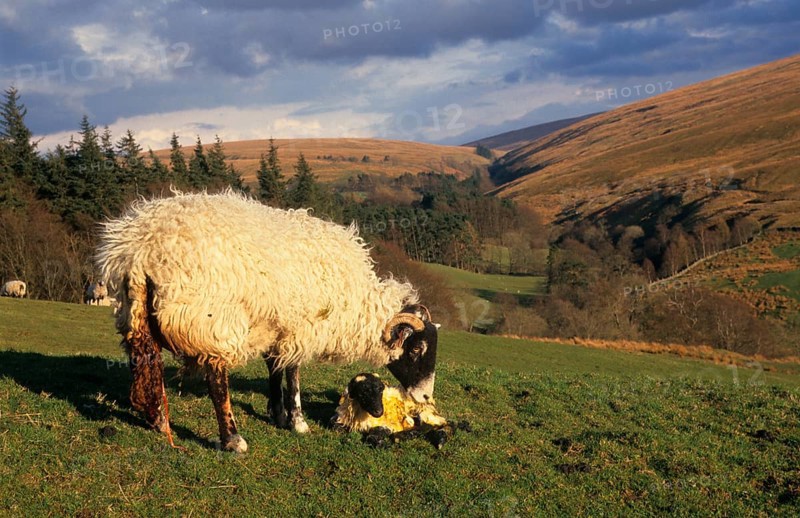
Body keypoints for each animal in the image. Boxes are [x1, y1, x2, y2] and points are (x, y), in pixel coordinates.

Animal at [96, 190, 440, 452]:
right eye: (416, 350)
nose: (425, 397)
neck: (354, 302)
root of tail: (143, 247)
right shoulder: (301, 327)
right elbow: (293, 372)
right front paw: (297, 421)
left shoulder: (277, 325)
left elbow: (275, 368)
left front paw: (276, 413)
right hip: (212, 317)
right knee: (216, 380)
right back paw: (232, 439)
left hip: (134, 312)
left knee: (144, 361)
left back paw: (158, 419)